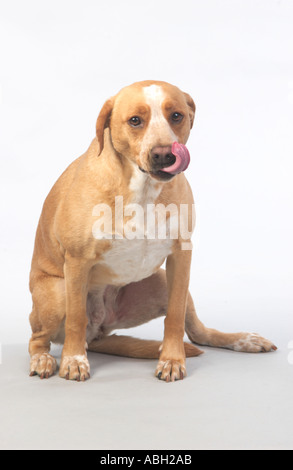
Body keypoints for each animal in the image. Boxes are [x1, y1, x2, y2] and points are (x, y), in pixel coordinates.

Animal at [28, 81, 276, 382]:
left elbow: (175, 317)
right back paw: (44, 359)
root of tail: (97, 332)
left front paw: (171, 359)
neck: (143, 188)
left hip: (161, 282)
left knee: (199, 332)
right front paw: (74, 360)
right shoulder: (77, 261)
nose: (164, 154)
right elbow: (76, 317)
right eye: (135, 120)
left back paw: (242, 340)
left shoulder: (181, 256)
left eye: (176, 116)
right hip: (57, 291)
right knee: (39, 338)